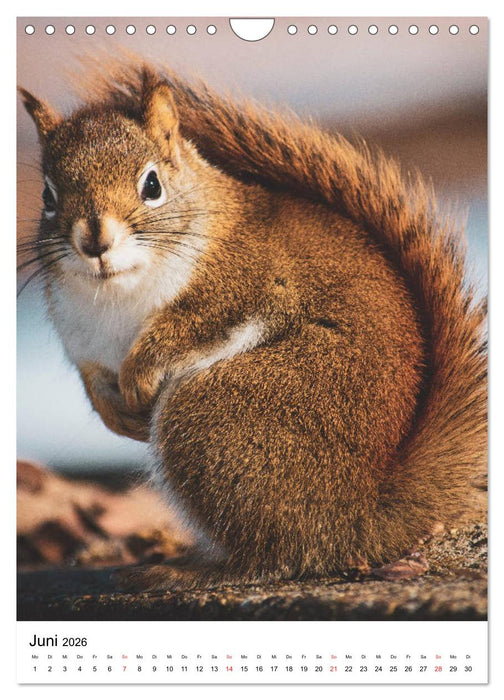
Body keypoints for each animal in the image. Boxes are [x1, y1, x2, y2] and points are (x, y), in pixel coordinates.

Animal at [19, 60, 487, 591]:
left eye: (152, 185)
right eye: (48, 195)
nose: (94, 241)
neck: (115, 294)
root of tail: (361, 516)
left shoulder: (248, 282)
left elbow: (188, 329)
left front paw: (140, 375)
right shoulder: (85, 342)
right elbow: (93, 379)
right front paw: (118, 415)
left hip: (218, 414)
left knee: (274, 555)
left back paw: (187, 570)